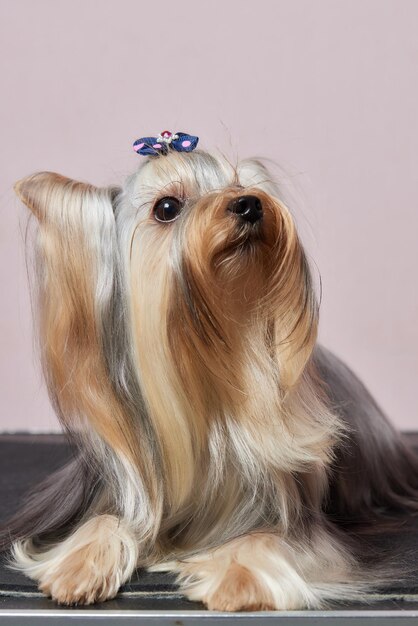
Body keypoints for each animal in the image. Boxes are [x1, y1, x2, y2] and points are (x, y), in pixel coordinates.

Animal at [3, 129, 418, 608]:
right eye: (167, 208)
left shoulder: (292, 517)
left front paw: (237, 577)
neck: (200, 371)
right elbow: (103, 519)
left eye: (238, 183)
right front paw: (78, 566)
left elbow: (267, 538)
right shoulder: (112, 491)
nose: (249, 204)